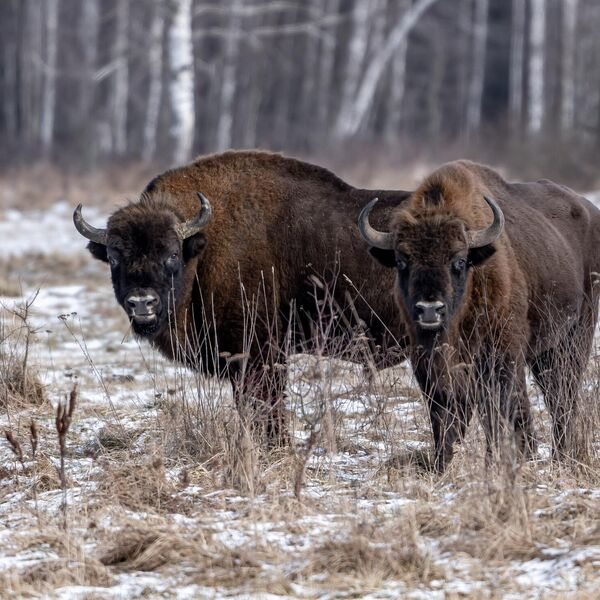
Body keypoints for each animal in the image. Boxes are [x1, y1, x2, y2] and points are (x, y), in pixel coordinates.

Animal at [75, 150, 410, 440]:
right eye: (114, 257)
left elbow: (265, 405)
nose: (142, 302)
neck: (204, 247)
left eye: (172, 254)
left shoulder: (259, 354)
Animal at [358, 162, 600, 472]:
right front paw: (443, 463)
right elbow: (445, 413)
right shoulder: (429, 364)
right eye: (402, 261)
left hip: (574, 337)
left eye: (459, 261)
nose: (429, 309)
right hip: (544, 351)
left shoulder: (501, 356)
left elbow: (502, 408)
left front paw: (507, 459)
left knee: (562, 398)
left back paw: (560, 457)